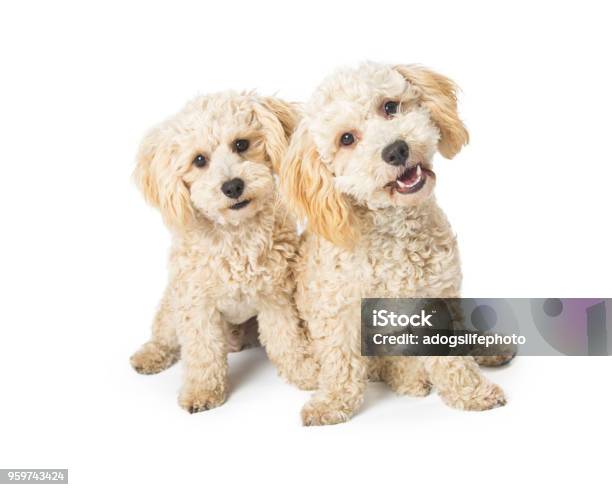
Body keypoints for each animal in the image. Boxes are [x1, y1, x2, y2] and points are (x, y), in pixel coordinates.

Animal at [131, 92, 318, 414]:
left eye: (241, 144)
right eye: (199, 160)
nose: (232, 186)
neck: (235, 236)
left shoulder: (276, 297)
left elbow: (287, 338)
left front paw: (303, 371)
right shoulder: (197, 306)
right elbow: (202, 351)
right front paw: (202, 391)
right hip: (171, 305)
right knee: (163, 334)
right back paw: (150, 356)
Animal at [282, 62, 506, 424]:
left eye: (389, 107)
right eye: (347, 139)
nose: (396, 150)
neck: (394, 233)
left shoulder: (436, 300)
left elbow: (451, 354)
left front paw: (471, 390)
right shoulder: (338, 312)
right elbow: (341, 362)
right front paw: (332, 402)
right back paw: (408, 377)